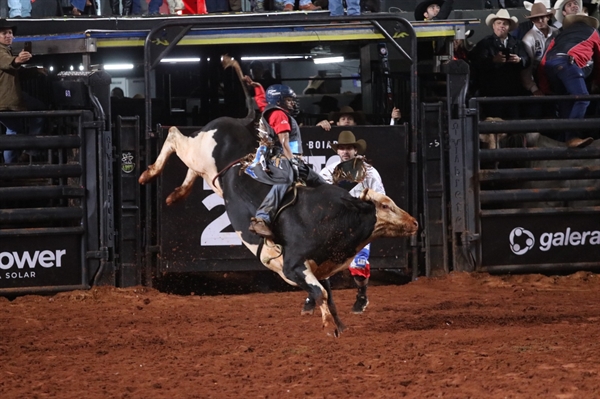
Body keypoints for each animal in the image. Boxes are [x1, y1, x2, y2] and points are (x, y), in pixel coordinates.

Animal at [139, 57, 418, 338]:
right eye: (385, 205)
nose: (414, 222)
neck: (331, 217)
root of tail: (236, 122)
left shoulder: (319, 268)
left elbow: (327, 295)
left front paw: (338, 324)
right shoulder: (293, 266)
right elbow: (320, 293)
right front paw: (329, 326)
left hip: (206, 168)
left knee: (191, 168)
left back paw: (176, 195)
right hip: (199, 150)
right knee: (173, 134)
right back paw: (148, 173)